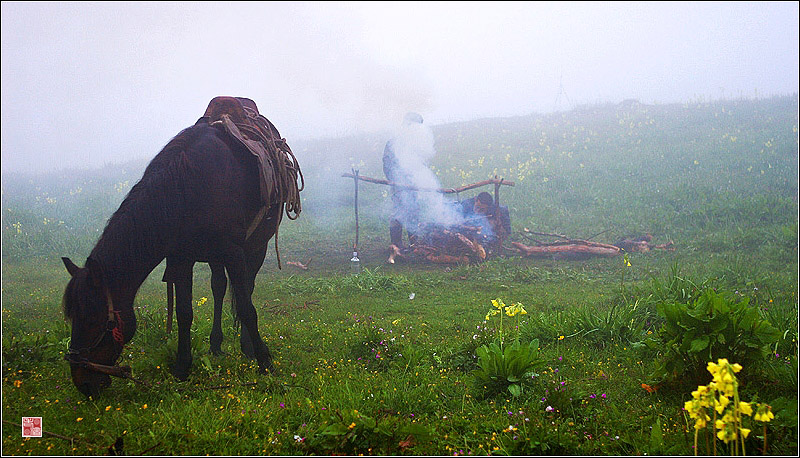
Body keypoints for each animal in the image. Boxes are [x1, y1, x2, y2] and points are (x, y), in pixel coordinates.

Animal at [61, 98, 302, 396]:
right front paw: (182, 367)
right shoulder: (180, 259)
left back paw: (246, 347)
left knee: (247, 287)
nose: (83, 383)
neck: (187, 189)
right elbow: (184, 313)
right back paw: (215, 344)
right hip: (215, 257)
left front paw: (265, 362)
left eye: (94, 319)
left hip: (256, 247)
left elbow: (247, 307)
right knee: (219, 287)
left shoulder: (234, 252)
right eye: (72, 317)